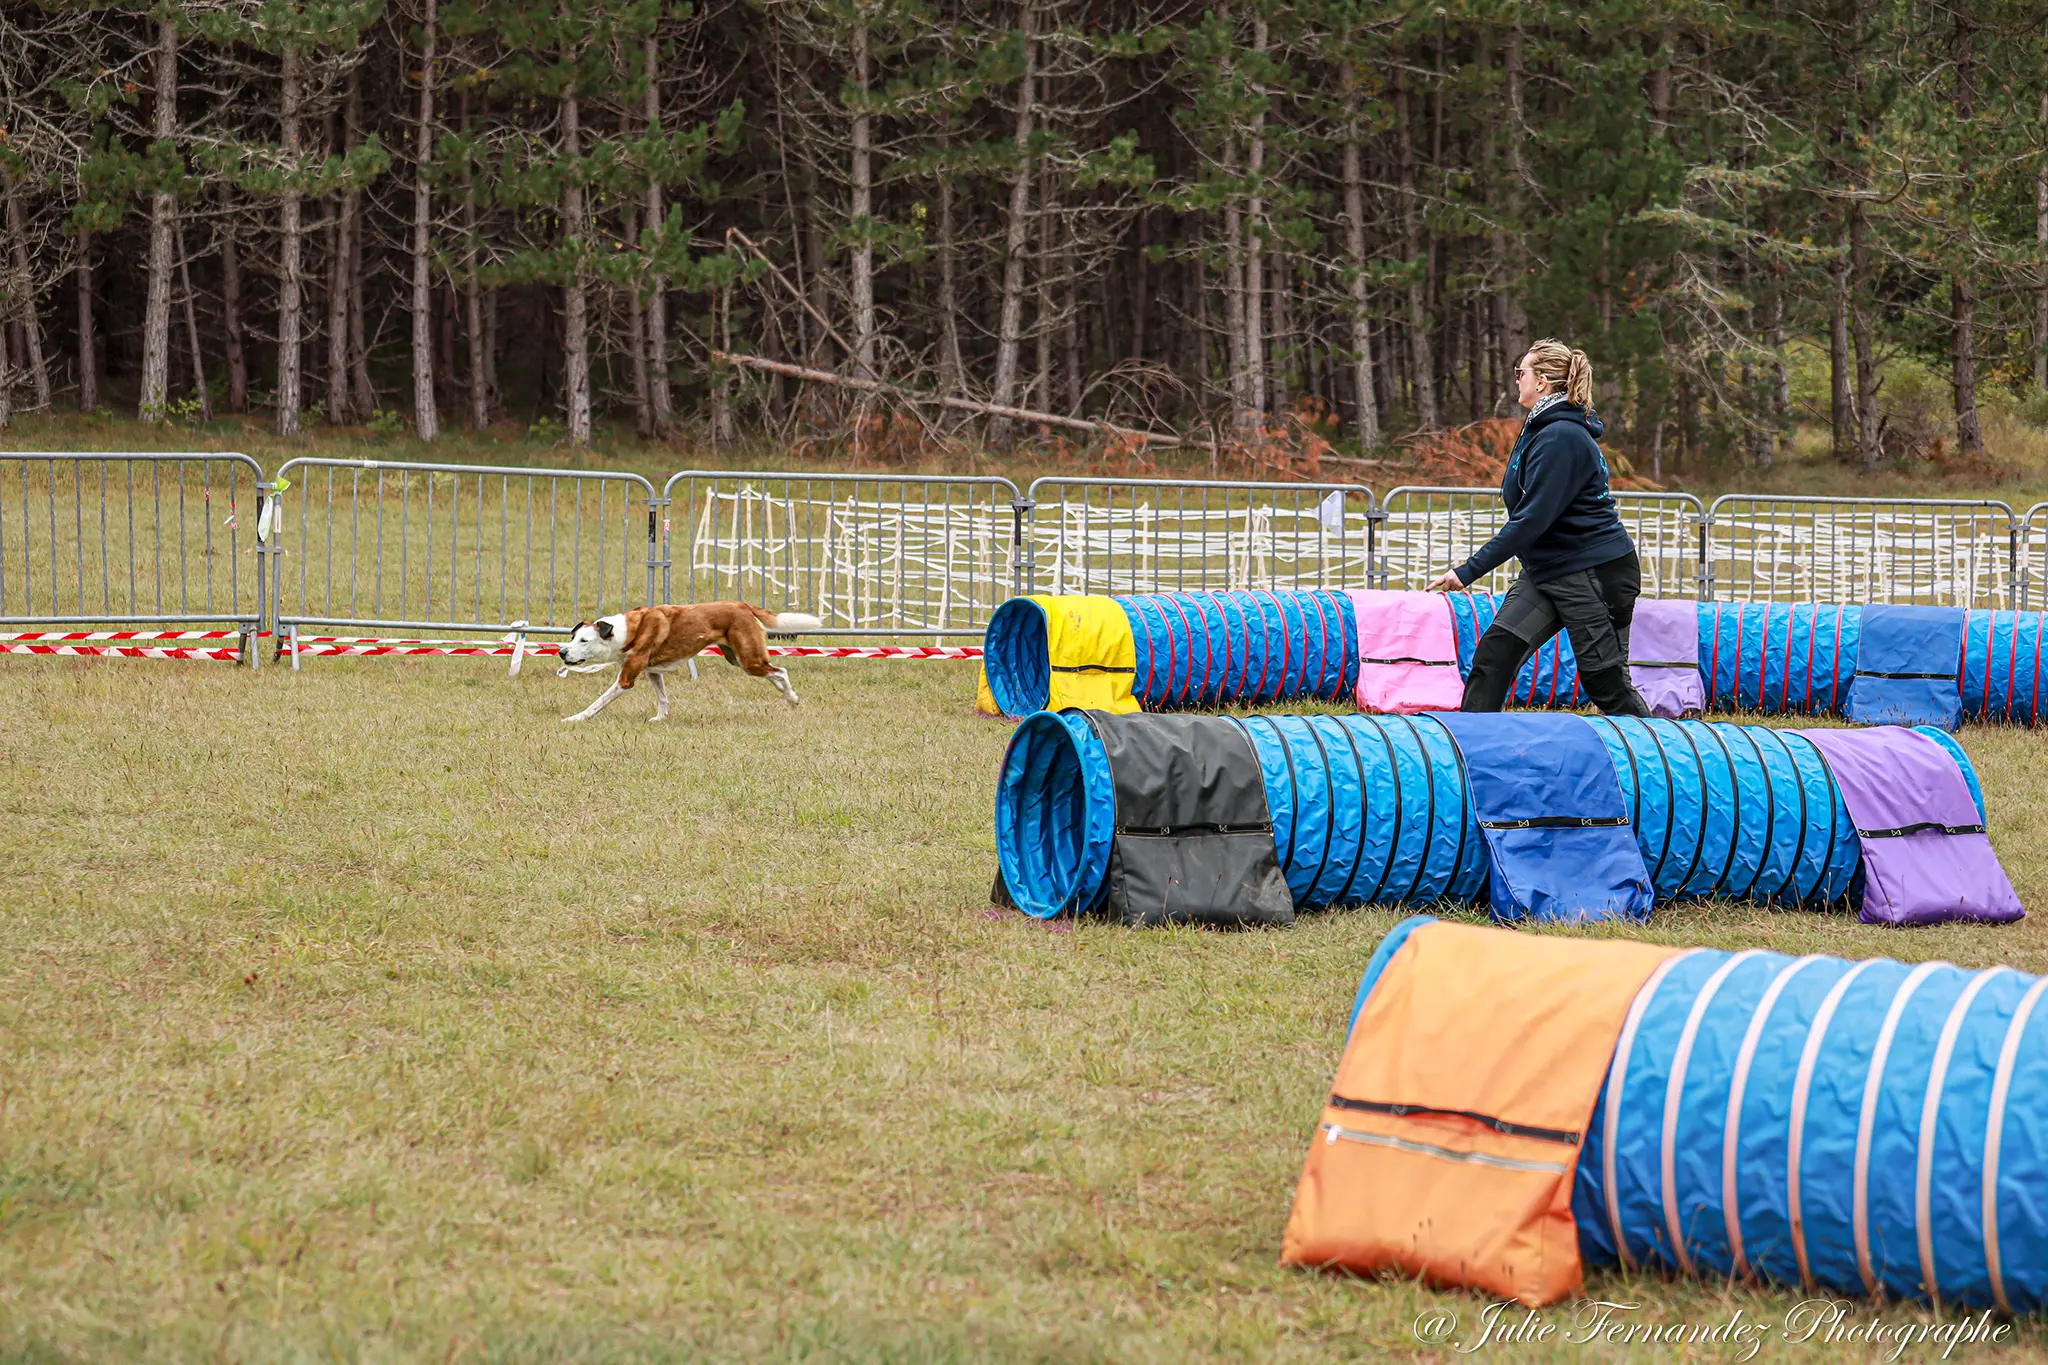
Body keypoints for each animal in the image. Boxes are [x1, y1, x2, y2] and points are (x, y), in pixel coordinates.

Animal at [561, 601, 823, 724]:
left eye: (584, 640)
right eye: (573, 637)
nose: (562, 652)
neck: (625, 631)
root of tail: (742, 605)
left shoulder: (627, 677)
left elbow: (597, 703)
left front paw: (575, 718)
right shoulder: (651, 671)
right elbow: (663, 698)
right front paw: (660, 719)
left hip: (748, 659)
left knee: (781, 670)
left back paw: (791, 697)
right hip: (737, 658)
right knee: (773, 672)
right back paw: (789, 696)